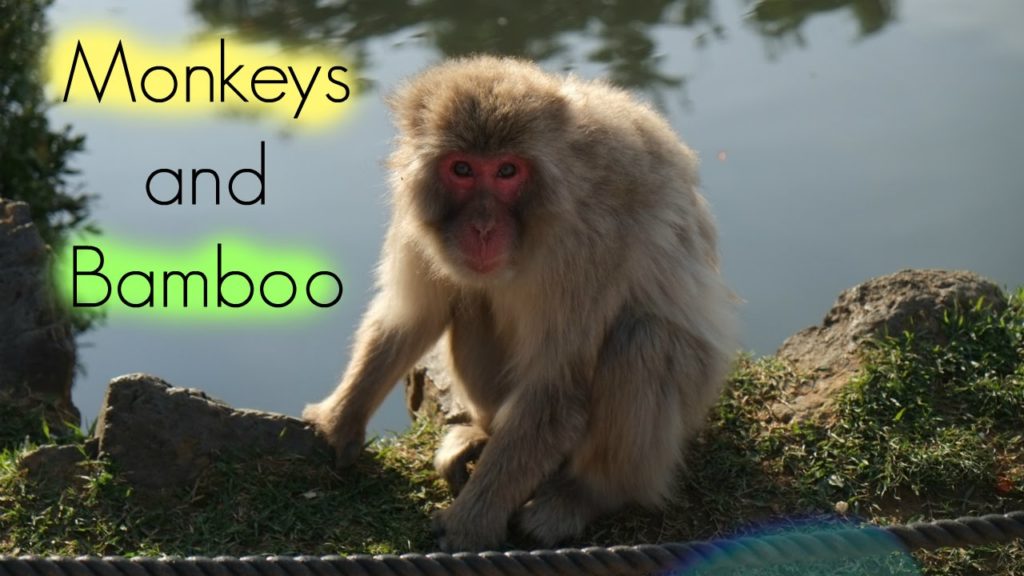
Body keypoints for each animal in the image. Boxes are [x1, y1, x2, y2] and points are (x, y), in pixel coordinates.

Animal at [303, 55, 738, 552]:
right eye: (462, 169)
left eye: (507, 172)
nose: (483, 227)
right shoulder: (416, 219)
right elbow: (409, 319)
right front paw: (339, 419)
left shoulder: (591, 244)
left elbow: (555, 391)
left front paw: (471, 521)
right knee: (471, 301)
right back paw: (482, 433)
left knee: (643, 337)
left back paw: (585, 495)